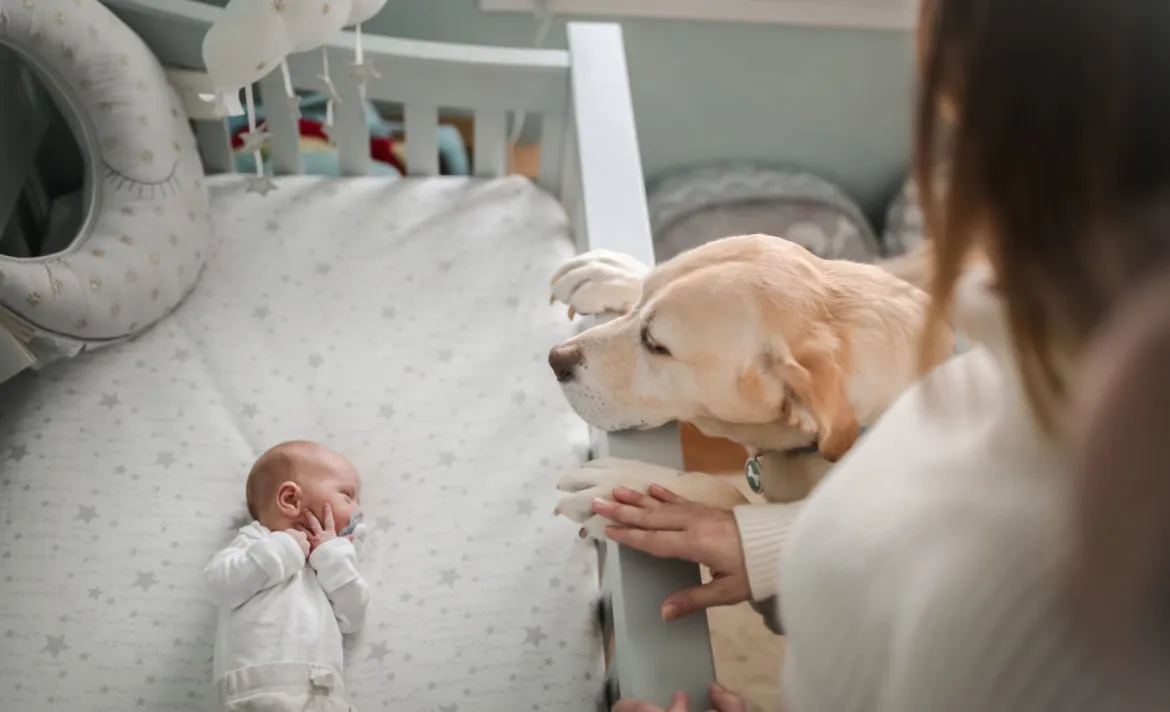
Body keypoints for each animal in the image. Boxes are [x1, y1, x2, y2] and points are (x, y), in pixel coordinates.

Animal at [547, 236, 950, 535]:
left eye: (657, 345)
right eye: (642, 300)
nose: (555, 359)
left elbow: (731, 500)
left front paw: (637, 486)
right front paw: (616, 274)